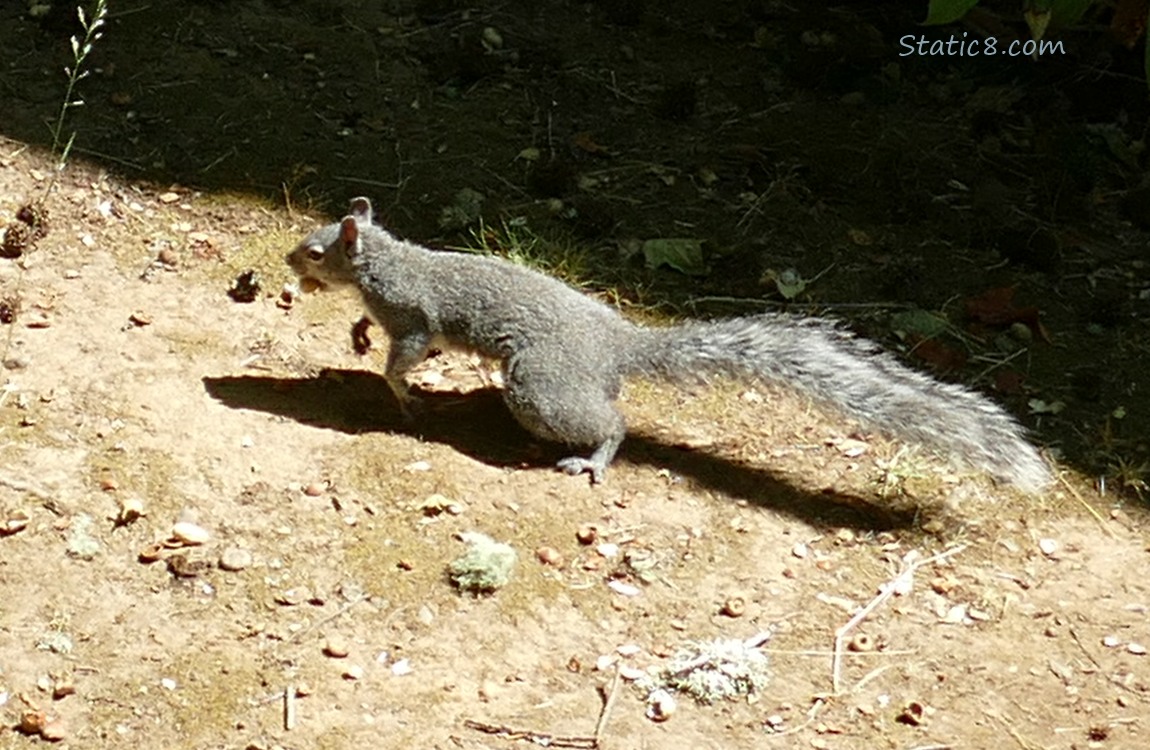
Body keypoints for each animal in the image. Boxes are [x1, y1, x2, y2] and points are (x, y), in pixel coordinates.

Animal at [285, 197, 1053, 492]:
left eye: (317, 251)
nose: (290, 264)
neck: (383, 261)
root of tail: (618, 347)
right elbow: (384, 342)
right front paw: (355, 335)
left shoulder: (413, 316)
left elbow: (406, 359)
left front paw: (402, 398)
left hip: (540, 386)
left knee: (612, 422)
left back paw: (592, 459)